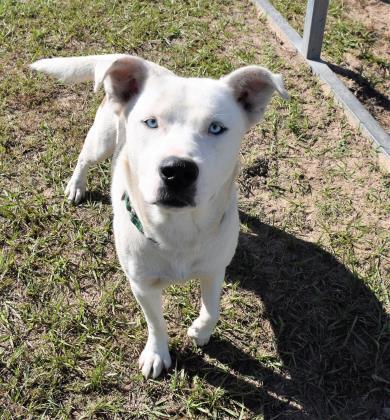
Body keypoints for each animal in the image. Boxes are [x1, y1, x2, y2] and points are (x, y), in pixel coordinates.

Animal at [30, 54, 288, 378]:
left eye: (216, 128)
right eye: (151, 122)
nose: (178, 171)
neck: (178, 229)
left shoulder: (214, 269)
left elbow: (213, 308)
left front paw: (201, 331)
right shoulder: (142, 284)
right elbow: (156, 322)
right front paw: (156, 353)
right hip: (102, 140)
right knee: (84, 159)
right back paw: (76, 185)